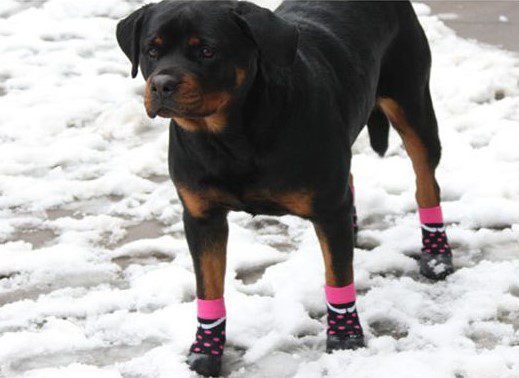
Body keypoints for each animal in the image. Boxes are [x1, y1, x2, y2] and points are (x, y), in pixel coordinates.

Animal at [118, 1, 456, 376]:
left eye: (207, 51)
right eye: (152, 50)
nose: (162, 84)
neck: (230, 136)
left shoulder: (328, 206)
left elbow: (338, 277)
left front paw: (345, 339)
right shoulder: (201, 217)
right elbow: (208, 288)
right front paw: (205, 352)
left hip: (412, 103)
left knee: (425, 182)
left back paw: (436, 254)